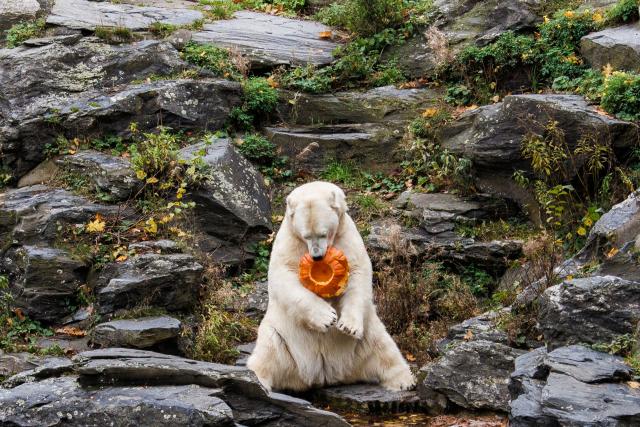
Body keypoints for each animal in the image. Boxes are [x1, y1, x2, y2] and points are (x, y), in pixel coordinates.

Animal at [247, 181, 415, 392]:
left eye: (323, 233)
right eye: (306, 236)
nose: (317, 256)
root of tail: (325, 375)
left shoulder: (347, 236)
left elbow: (357, 273)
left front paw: (347, 326)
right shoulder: (289, 240)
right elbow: (283, 275)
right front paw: (327, 318)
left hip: (368, 333)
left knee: (384, 348)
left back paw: (404, 381)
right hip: (280, 336)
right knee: (268, 352)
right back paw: (256, 379)